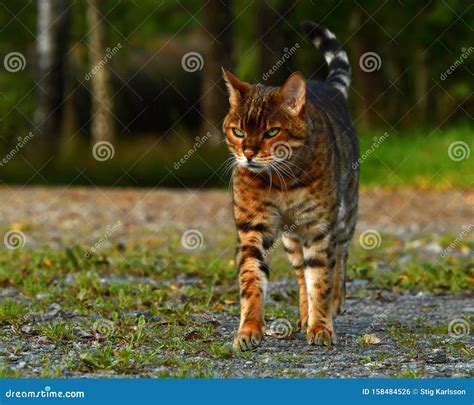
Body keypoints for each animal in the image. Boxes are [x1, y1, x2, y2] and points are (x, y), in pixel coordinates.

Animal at [222, 20, 360, 348]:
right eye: (237, 131)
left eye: (271, 132)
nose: (248, 153)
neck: (281, 181)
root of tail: (327, 86)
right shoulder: (253, 227)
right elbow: (252, 280)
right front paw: (249, 329)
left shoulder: (319, 228)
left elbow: (321, 279)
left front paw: (321, 326)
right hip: (290, 239)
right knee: (300, 273)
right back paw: (303, 314)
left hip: (345, 216)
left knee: (339, 257)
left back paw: (335, 302)